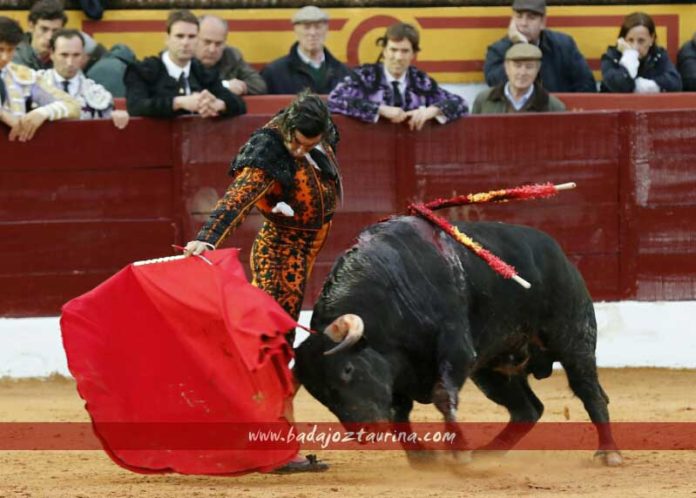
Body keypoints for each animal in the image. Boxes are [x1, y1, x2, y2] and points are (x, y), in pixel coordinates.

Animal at [296, 217, 624, 466]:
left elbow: (441, 396)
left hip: (575, 340)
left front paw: (458, 453)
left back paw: (609, 453)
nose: (364, 433)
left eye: (347, 370)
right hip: (492, 370)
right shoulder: (395, 372)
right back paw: (489, 454)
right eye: (320, 395)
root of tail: (559, 253)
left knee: (591, 393)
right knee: (528, 410)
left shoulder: (456, 350)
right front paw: (423, 459)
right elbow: (397, 413)